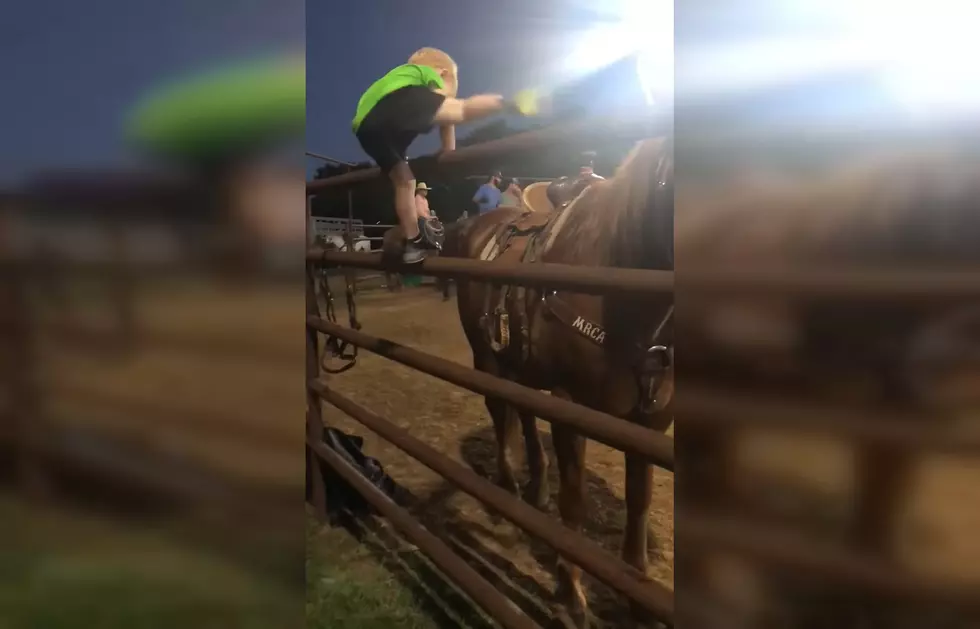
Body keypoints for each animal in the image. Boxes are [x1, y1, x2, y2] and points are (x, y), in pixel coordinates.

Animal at [444, 139, 672, 628]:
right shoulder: (571, 408)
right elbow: (575, 501)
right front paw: (571, 591)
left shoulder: (648, 424)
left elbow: (640, 502)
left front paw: (639, 598)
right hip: (485, 356)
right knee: (500, 412)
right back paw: (508, 490)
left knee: (526, 415)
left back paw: (536, 488)